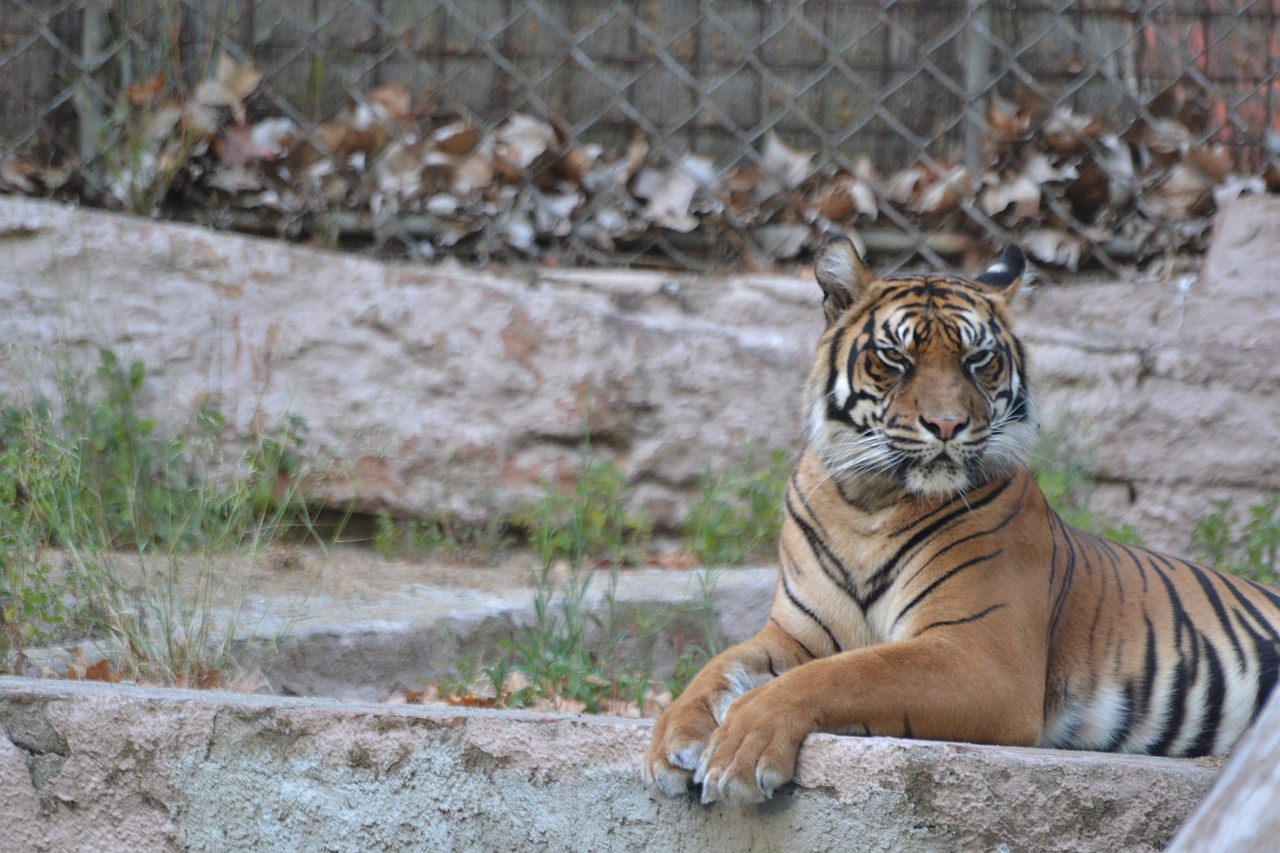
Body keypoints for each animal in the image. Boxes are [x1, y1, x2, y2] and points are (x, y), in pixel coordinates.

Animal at [640, 234, 1280, 804]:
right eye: (895, 358)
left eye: (978, 360)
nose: (946, 425)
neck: (868, 501)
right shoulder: (795, 634)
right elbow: (719, 665)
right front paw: (672, 740)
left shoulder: (981, 656)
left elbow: (845, 674)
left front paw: (740, 749)